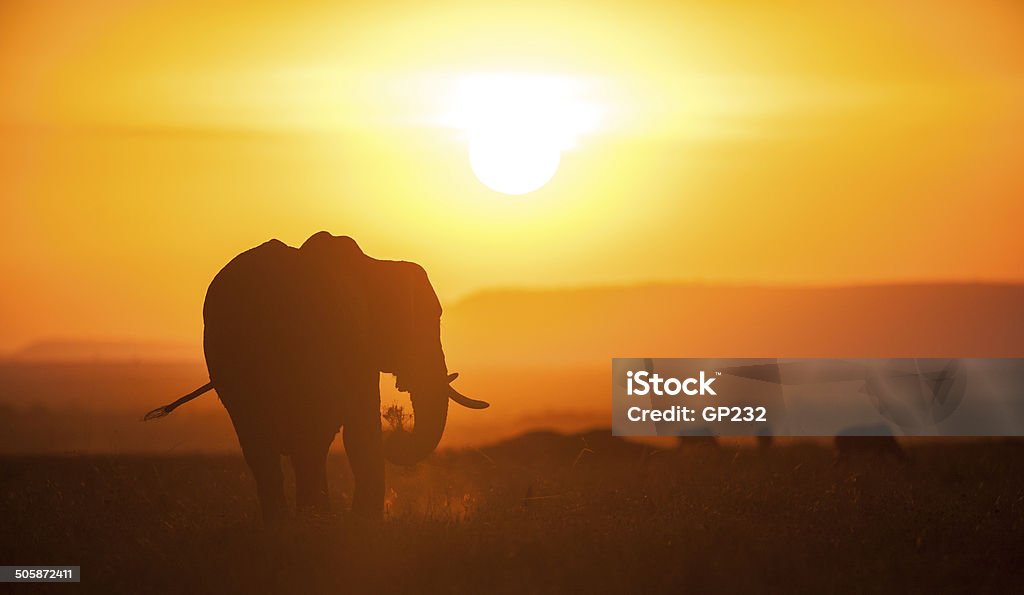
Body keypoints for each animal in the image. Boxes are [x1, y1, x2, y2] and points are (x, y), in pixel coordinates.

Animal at [143, 232, 487, 520]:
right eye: (429, 320)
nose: (397, 437)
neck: (374, 265)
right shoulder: (355, 345)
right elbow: (360, 432)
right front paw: (364, 526)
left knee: (265, 447)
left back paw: (284, 523)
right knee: (302, 442)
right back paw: (311, 520)